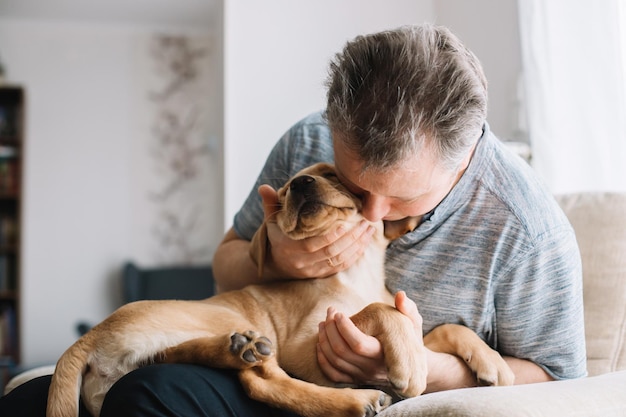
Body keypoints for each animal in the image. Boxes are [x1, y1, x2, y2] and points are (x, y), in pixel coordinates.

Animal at [45, 162, 512, 416]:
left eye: (331, 175)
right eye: (286, 189)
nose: (301, 185)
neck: (354, 276)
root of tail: (86, 340)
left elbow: (445, 329)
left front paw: (493, 364)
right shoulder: (306, 347)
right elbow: (379, 312)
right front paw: (409, 363)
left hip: (171, 342)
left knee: (221, 365)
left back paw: (237, 349)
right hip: (223, 316)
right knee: (262, 382)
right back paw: (353, 399)